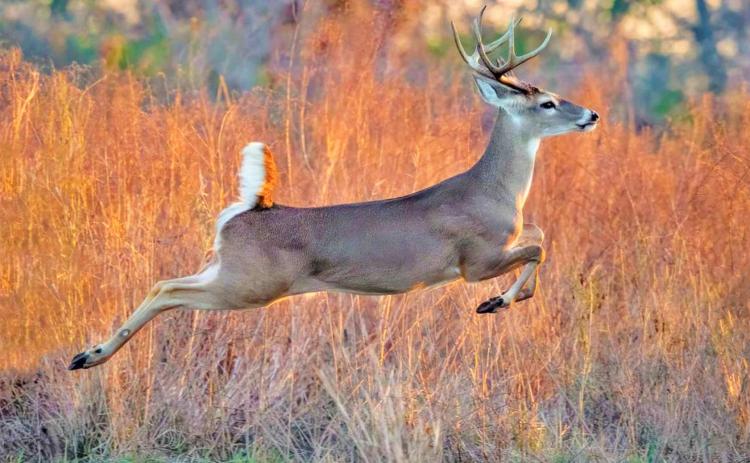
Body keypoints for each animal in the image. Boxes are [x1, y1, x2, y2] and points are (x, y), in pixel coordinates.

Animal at [69, 7, 598, 370]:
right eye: (548, 103)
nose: (591, 114)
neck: (494, 192)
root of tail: (252, 208)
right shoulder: (474, 261)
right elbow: (540, 247)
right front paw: (495, 302)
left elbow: (539, 236)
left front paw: (500, 302)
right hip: (251, 284)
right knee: (169, 289)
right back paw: (89, 356)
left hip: (227, 269)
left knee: (165, 282)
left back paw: (86, 355)